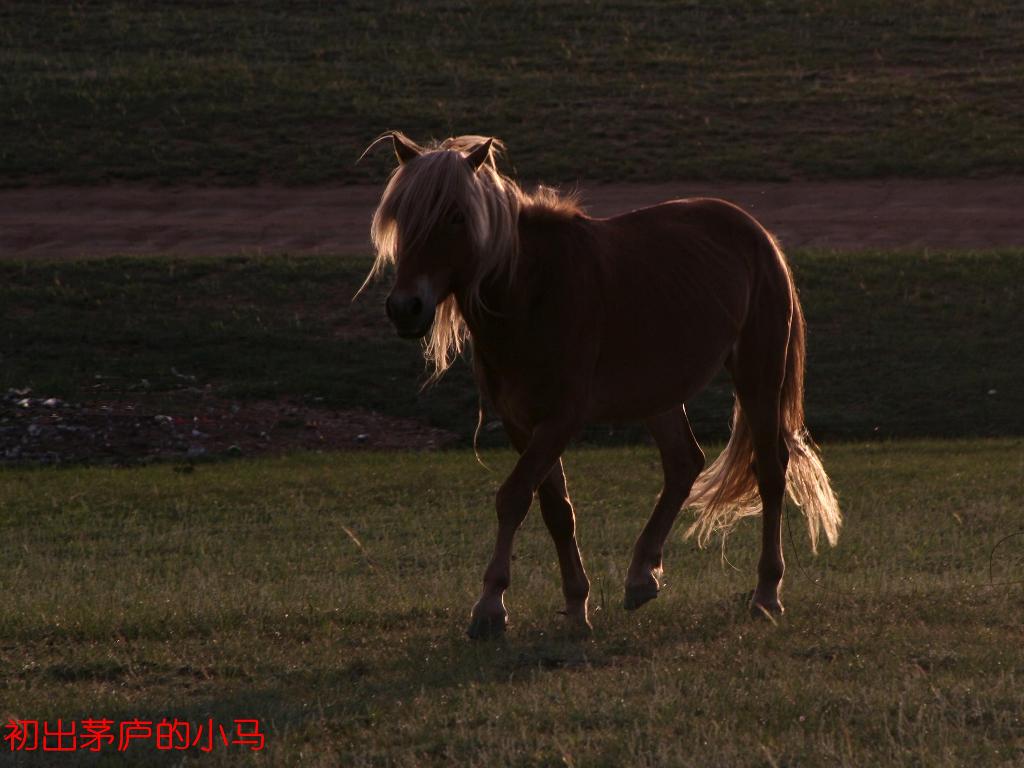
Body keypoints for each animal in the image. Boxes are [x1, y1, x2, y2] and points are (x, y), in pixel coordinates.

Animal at [364, 134, 843, 643]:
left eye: (456, 216)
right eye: (401, 216)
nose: (405, 308)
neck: (533, 291)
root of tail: (758, 233)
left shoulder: (561, 419)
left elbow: (513, 496)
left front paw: (490, 606)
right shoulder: (521, 424)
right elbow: (555, 509)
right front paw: (576, 604)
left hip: (758, 374)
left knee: (770, 471)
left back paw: (766, 593)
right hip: (659, 391)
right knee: (684, 463)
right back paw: (641, 575)